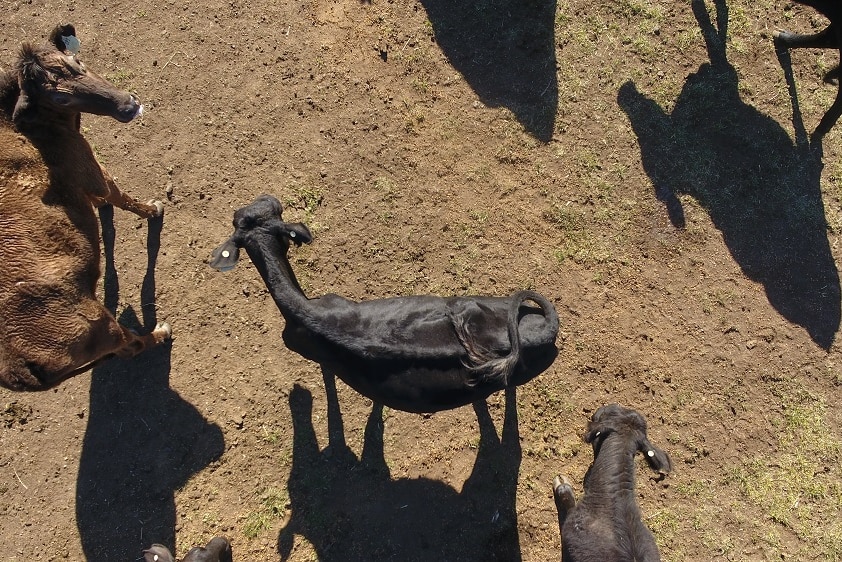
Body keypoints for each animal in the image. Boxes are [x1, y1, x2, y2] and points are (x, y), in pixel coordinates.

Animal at [0, 25, 171, 390]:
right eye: (60, 97)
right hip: (103, 327)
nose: (128, 104)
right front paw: (153, 209)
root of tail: (18, 368)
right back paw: (160, 332)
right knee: (132, 344)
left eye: (76, 62)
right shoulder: (91, 170)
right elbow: (119, 195)